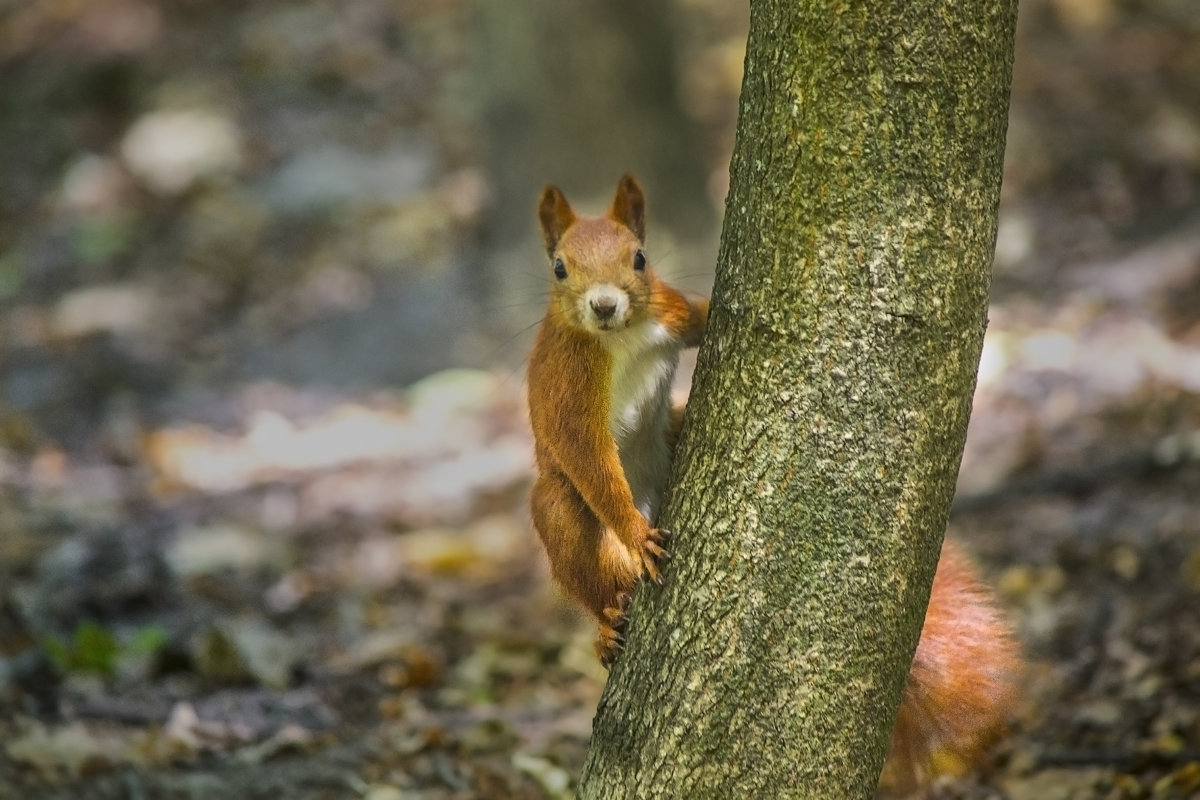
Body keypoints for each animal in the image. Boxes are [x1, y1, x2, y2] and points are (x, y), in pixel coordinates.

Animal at [525, 175, 1022, 796]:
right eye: (559, 268)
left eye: (639, 258)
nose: (605, 305)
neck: (623, 340)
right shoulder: (570, 385)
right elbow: (588, 460)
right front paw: (637, 535)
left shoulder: (667, 308)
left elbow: (700, 315)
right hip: (561, 514)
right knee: (583, 557)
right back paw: (608, 619)